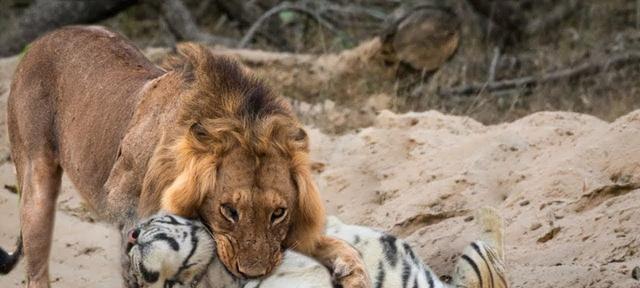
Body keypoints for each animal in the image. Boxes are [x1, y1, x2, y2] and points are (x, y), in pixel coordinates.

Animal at [0, 26, 370, 288]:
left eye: (278, 213)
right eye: (228, 211)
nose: (254, 273)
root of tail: (45, 38)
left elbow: (338, 246)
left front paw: (354, 272)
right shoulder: (131, 221)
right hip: (36, 181)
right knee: (36, 269)